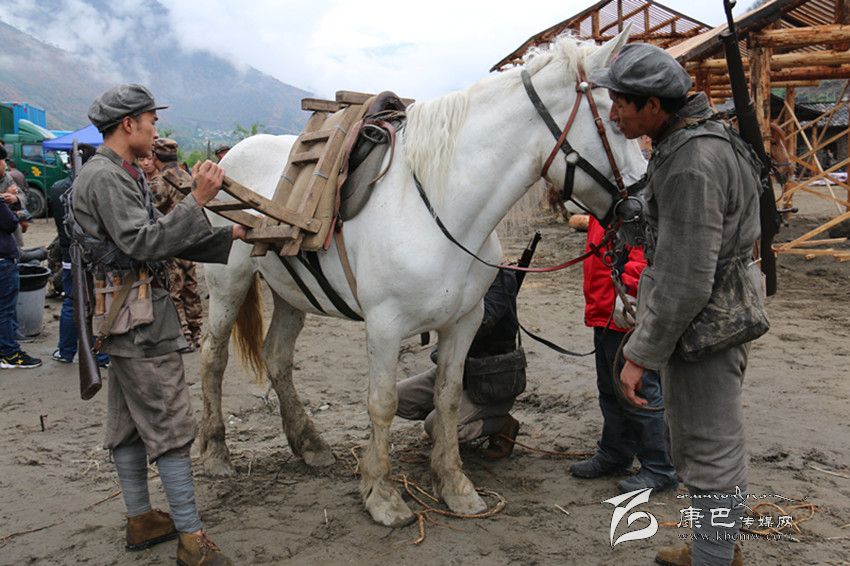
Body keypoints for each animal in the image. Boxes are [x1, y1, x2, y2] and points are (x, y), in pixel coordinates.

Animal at [197, 29, 646, 528]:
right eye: (617, 121)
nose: (643, 206)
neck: (440, 204)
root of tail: (228, 157)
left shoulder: (465, 321)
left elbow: (448, 398)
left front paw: (455, 486)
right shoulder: (385, 325)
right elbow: (382, 403)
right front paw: (382, 495)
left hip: (291, 293)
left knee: (277, 357)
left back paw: (310, 445)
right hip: (228, 283)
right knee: (213, 358)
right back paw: (216, 454)